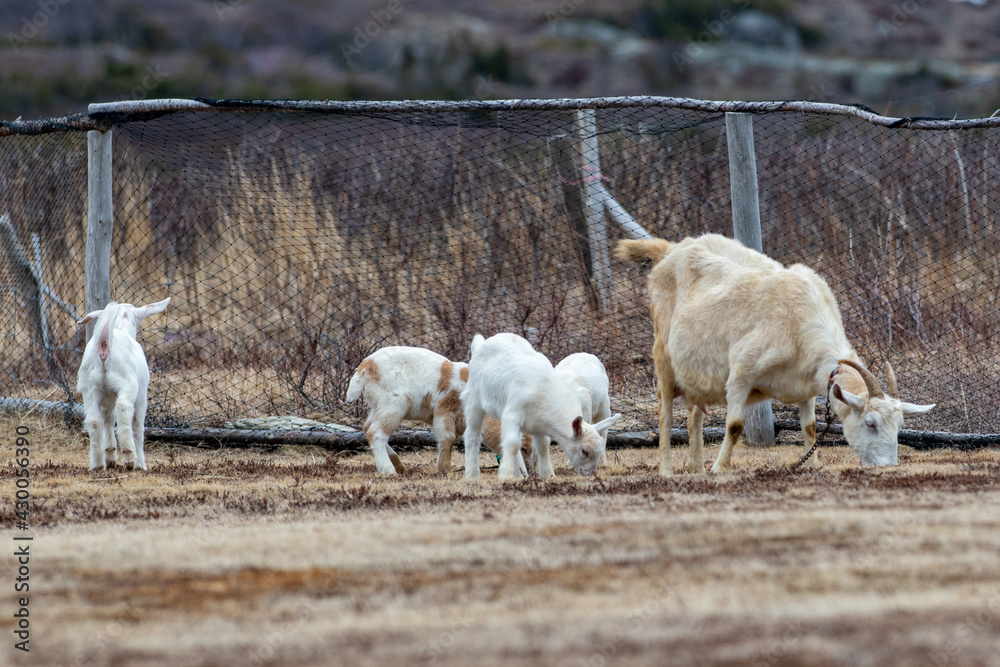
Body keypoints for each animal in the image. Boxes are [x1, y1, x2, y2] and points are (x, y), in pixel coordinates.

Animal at [76, 297, 170, 471]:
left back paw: (97, 463)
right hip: (127, 384)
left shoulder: (106, 402)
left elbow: (107, 421)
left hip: (89, 387)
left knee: (94, 421)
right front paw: (141, 464)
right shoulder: (141, 398)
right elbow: (138, 427)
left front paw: (110, 457)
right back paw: (129, 456)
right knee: (123, 408)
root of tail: (104, 346)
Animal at [345, 346, 530, 475]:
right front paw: (445, 470)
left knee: (367, 428)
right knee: (376, 432)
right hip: (394, 406)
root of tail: (365, 367)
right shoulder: (444, 411)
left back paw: (399, 466)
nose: (526, 473)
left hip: (378, 407)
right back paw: (389, 470)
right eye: (523, 448)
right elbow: (448, 438)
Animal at [461, 333, 620, 480]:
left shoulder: (538, 424)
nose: (590, 473)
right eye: (585, 451)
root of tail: (482, 344)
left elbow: (543, 446)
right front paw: (505, 476)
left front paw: (548, 475)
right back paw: (472, 474)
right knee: (472, 436)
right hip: (474, 401)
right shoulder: (512, 415)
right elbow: (513, 443)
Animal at [616, 233, 934, 475]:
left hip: (695, 374)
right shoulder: (741, 373)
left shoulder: (807, 384)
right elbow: (734, 425)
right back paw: (667, 470)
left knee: (694, 414)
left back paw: (696, 467)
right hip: (662, 355)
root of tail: (672, 250)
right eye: (870, 423)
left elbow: (810, 427)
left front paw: (812, 465)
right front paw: (720, 468)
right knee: (665, 415)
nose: (889, 466)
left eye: (900, 426)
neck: (800, 323)